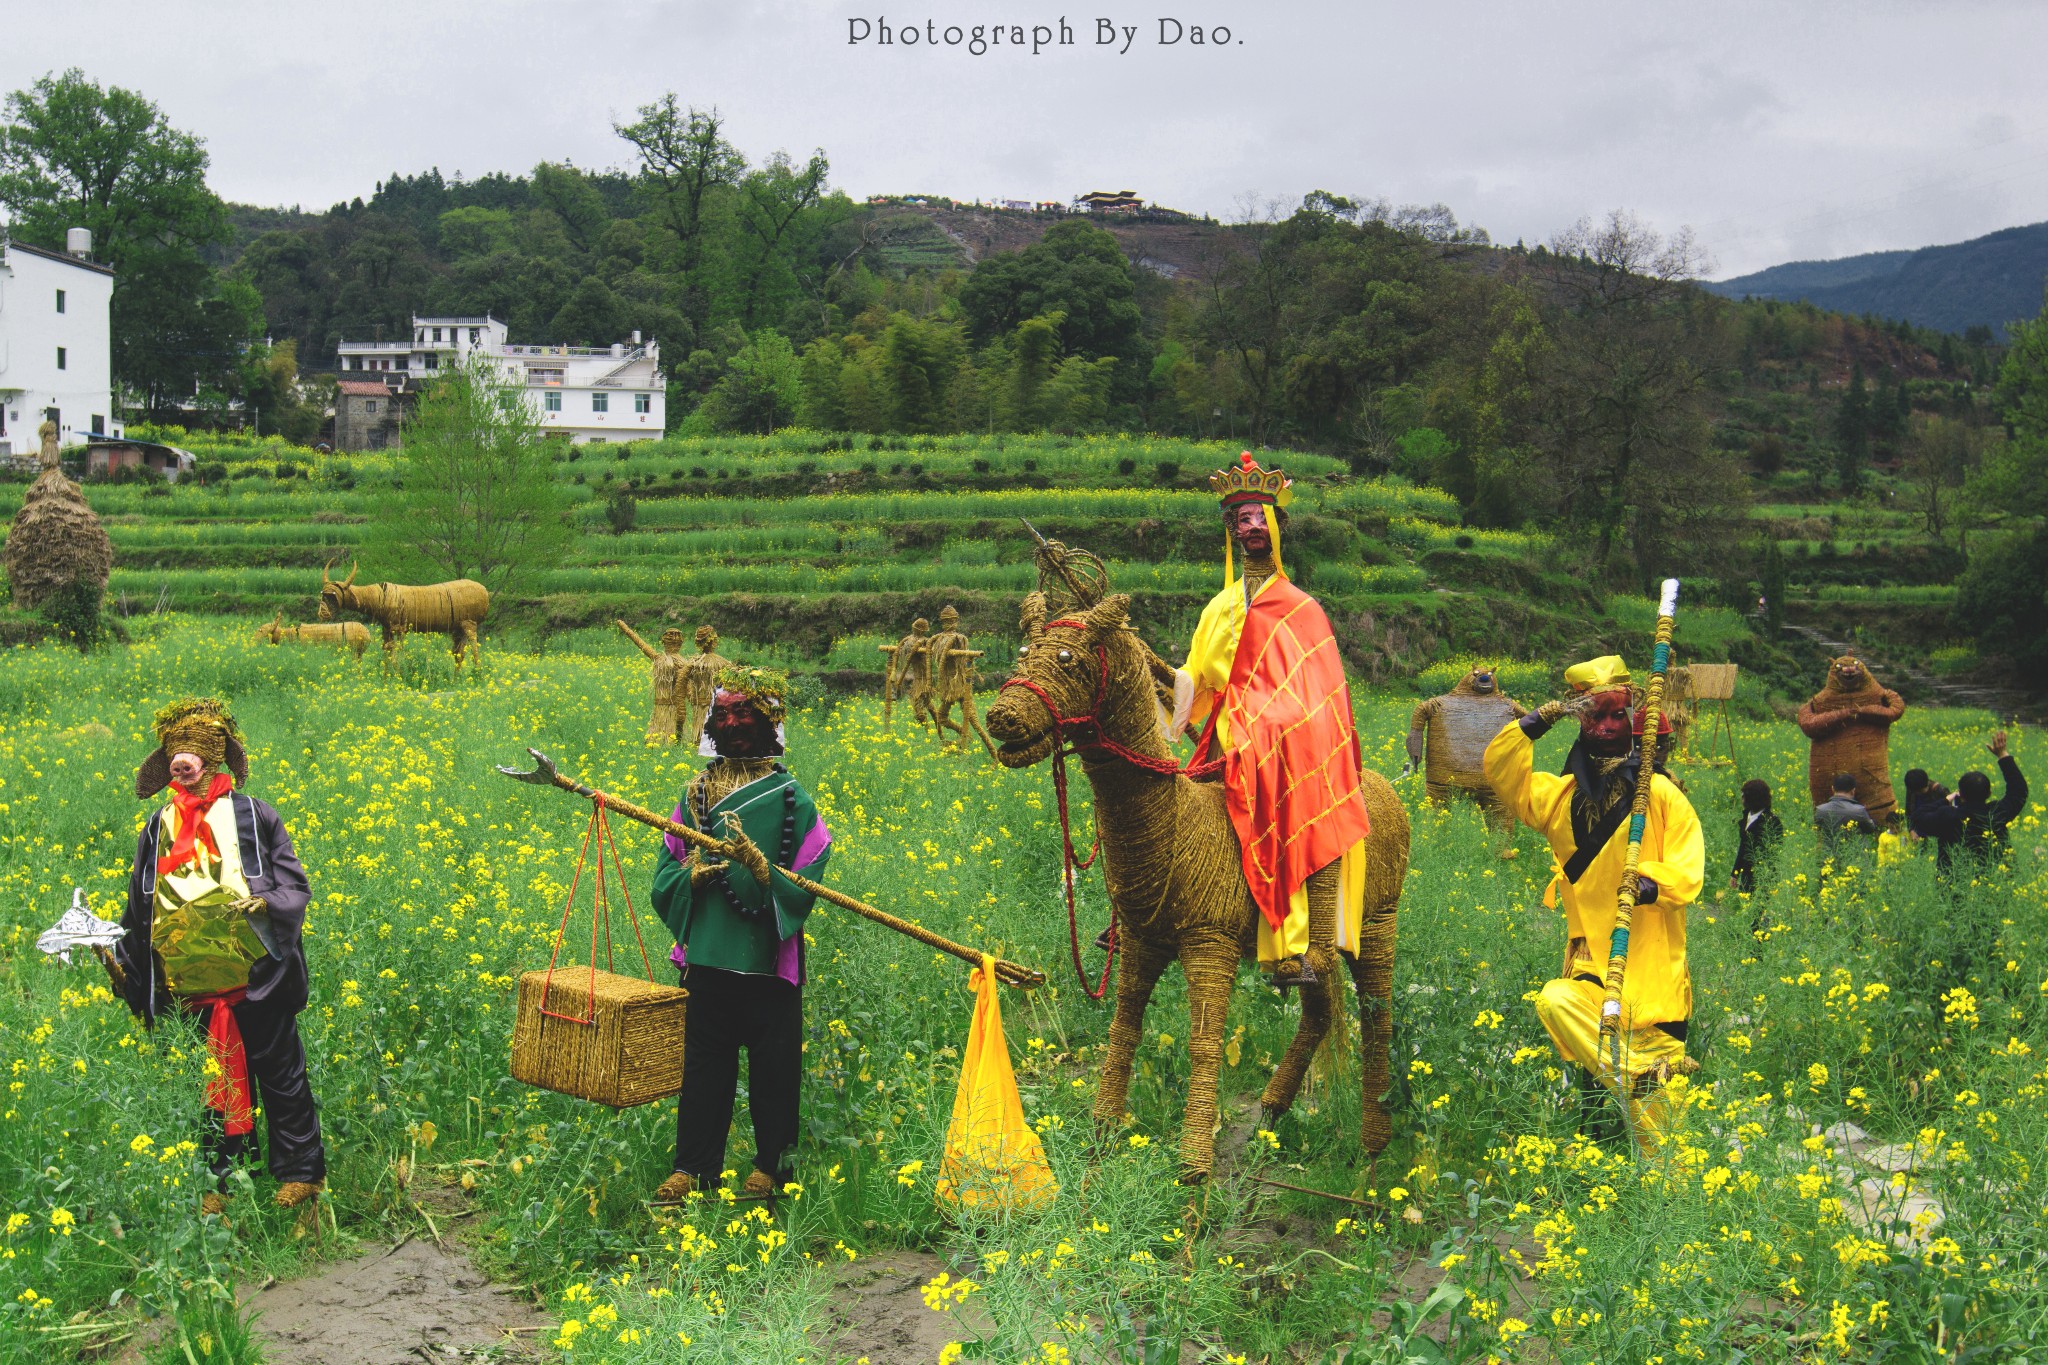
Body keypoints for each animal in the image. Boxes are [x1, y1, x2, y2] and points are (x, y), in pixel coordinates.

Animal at [317, 560, 489, 671]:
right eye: (323, 595)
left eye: (333, 596)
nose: (322, 614)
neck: (380, 597)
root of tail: (484, 591)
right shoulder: (387, 629)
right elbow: (387, 652)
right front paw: (388, 679)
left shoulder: (397, 628)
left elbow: (397, 653)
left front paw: (400, 676)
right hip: (458, 628)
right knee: (459, 654)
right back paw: (456, 679)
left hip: (469, 623)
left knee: (474, 647)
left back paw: (478, 674)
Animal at [987, 593, 1409, 1178]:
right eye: (1025, 653)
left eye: (1070, 660)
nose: (1001, 717)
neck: (1174, 826)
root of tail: (1387, 790)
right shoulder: (1142, 942)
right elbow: (1124, 1031)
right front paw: (1099, 1146)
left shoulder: (1212, 943)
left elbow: (1204, 1045)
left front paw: (1192, 1179)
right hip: (1313, 951)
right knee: (1320, 1010)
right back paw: (1271, 1115)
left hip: (1378, 921)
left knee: (1377, 1019)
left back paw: (1372, 1154)